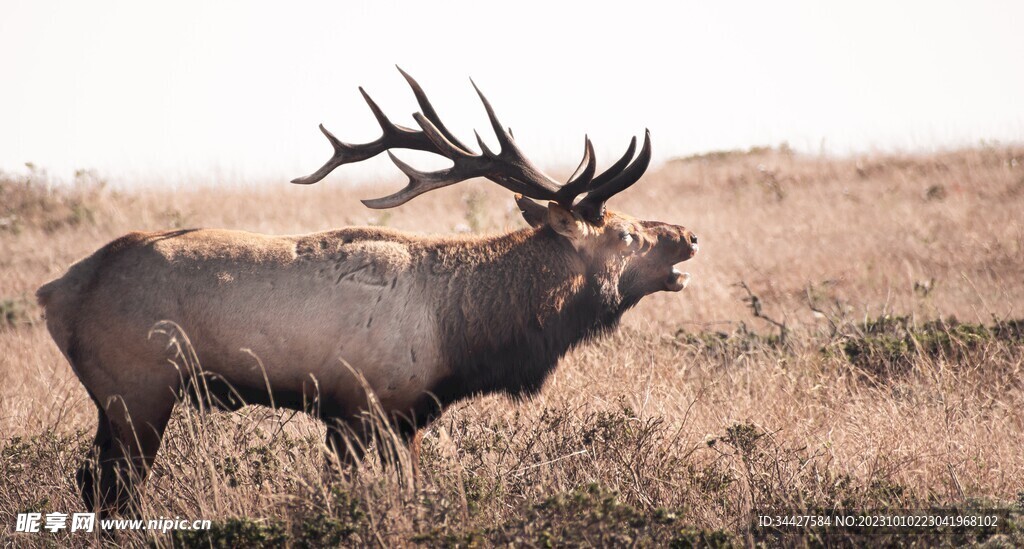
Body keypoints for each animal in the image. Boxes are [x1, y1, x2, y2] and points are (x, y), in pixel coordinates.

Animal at [36, 68, 698, 515]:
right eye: (628, 233)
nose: (688, 235)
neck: (464, 332)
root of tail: (54, 292)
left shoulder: (400, 417)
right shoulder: (364, 404)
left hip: (117, 399)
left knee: (90, 481)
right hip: (138, 388)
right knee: (114, 488)